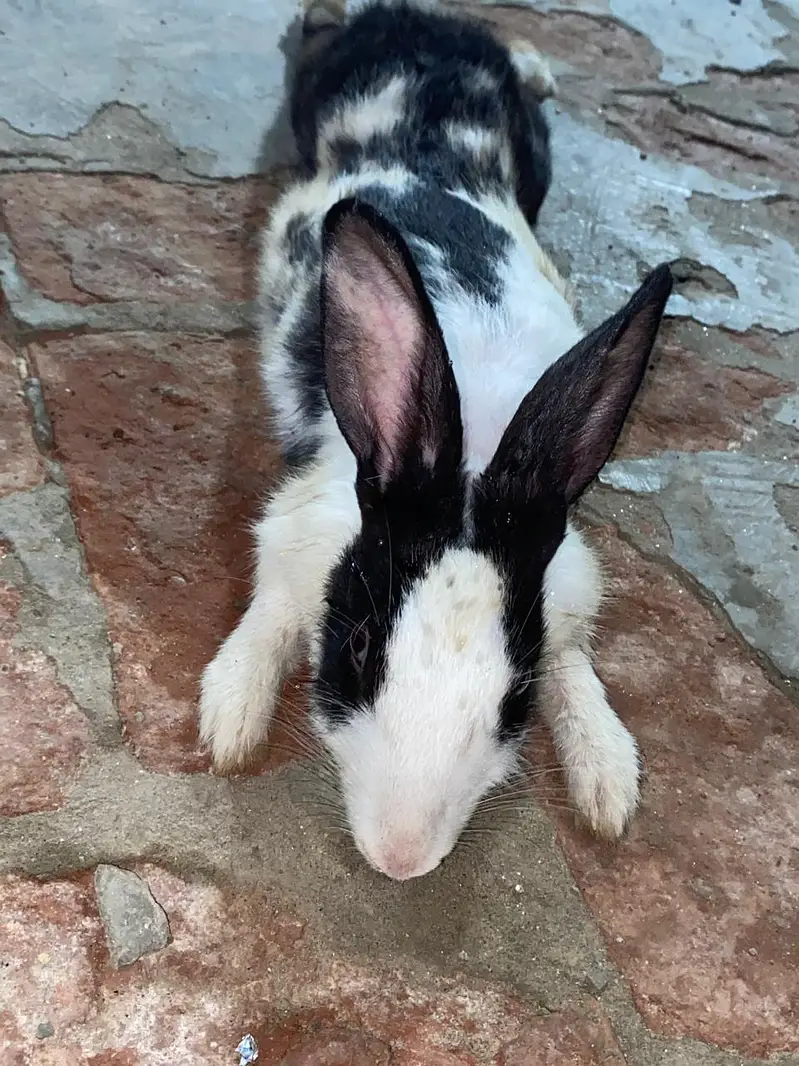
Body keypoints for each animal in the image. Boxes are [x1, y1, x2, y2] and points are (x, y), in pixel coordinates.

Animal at [199, 0, 673, 881]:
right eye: (357, 648)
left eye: (513, 695)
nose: (400, 858)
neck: (478, 446)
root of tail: (420, 24)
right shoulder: (295, 533)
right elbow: (271, 612)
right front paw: (231, 716)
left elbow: (573, 662)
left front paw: (605, 776)